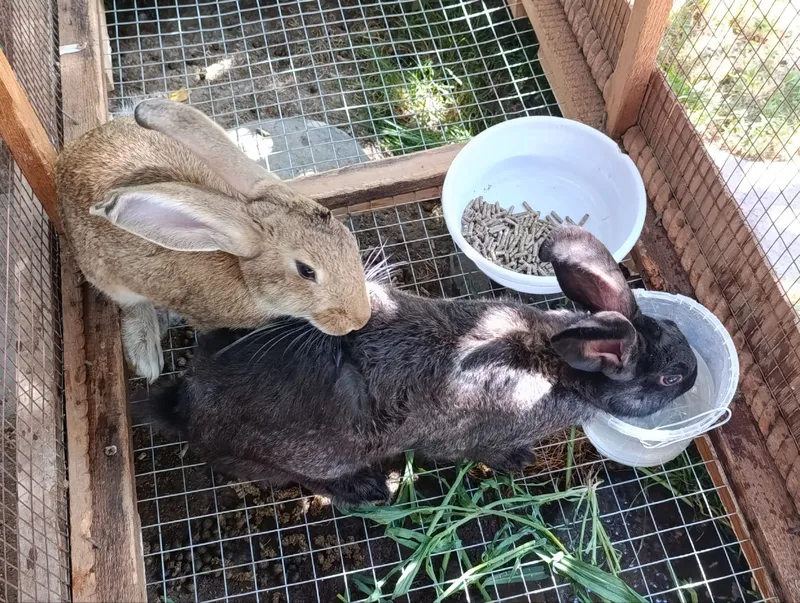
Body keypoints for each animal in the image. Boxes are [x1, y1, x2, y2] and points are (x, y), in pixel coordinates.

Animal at [56, 99, 370, 383]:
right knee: (132, 305)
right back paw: (147, 353)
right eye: (306, 271)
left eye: (348, 239)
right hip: (106, 275)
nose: (360, 319)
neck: (243, 275)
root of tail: (65, 160)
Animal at [137, 226, 698, 505]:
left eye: (676, 330)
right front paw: (518, 461)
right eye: (669, 377)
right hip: (307, 458)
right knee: (308, 480)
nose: (693, 374)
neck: (556, 363)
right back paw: (367, 489)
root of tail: (186, 405)